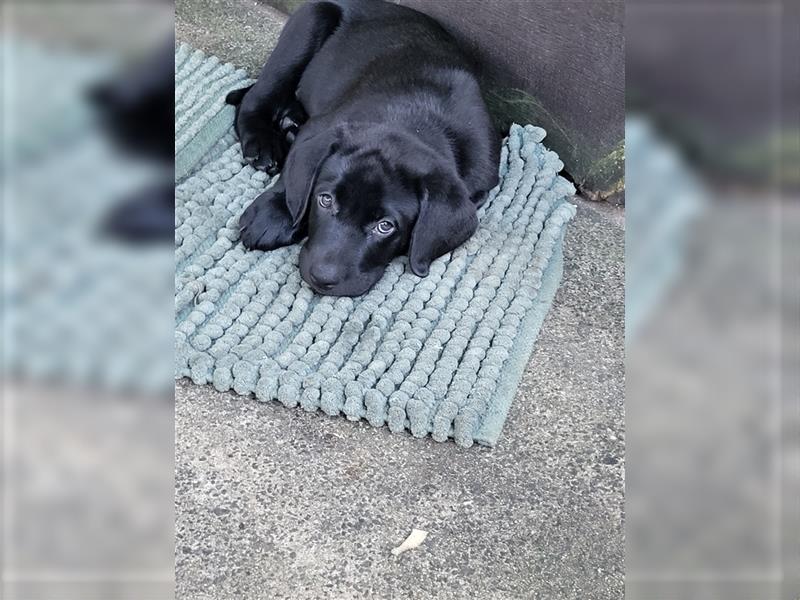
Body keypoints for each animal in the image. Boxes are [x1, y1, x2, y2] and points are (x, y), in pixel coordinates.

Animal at [228, 0, 496, 296]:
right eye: (325, 200)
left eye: (385, 227)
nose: (321, 278)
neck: (415, 121)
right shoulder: (322, 126)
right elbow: (294, 176)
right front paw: (275, 213)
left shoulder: (479, 183)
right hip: (308, 23)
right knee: (254, 98)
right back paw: (264, 143)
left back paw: (289, 121)